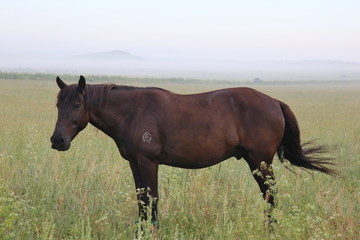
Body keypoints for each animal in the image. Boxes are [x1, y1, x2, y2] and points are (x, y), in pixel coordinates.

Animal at [50, 76, 334, 230]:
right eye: (57, 105)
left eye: (77, 105)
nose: (57, 140)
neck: (132, 111)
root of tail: (275, 101)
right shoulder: (134, 163)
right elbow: (141, 200)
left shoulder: (148, 162)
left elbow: (152, 200)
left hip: (260, 161)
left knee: (270, 196)